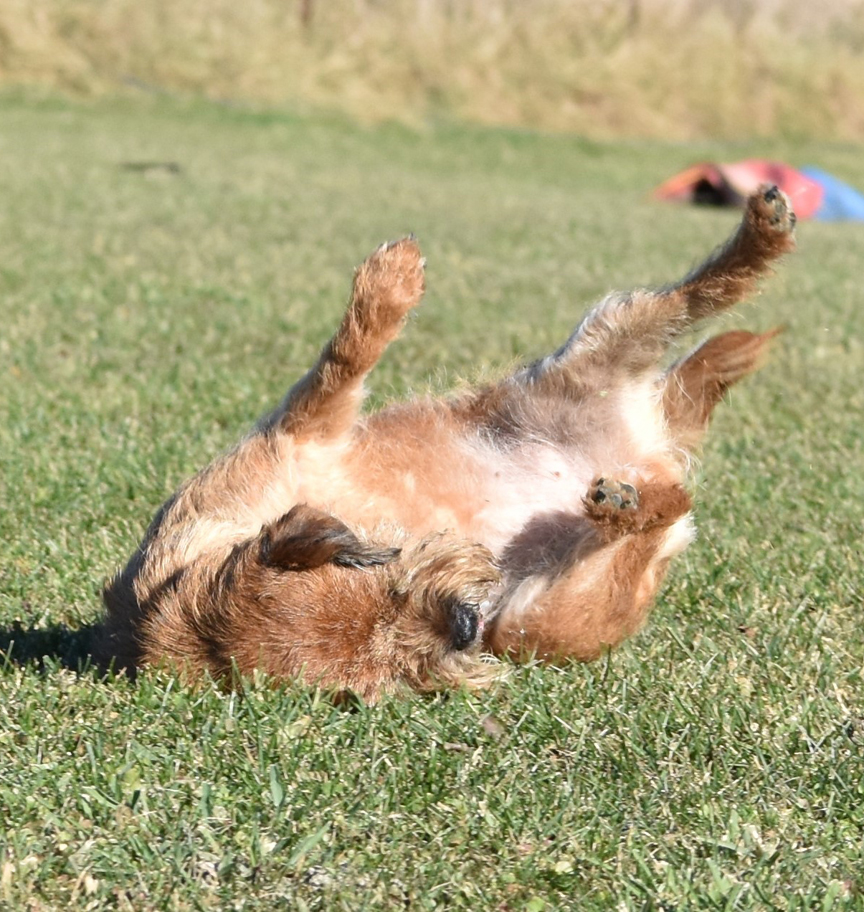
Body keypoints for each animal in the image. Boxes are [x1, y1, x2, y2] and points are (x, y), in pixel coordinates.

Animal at [95, 187, 795, 701]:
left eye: (373, 580)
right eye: (385, 675)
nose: (462, 629)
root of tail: (652, 439)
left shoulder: (299, 431)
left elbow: (346, 355)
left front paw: (393, 276)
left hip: (602, 346)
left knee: (701, 294)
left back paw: (764, 231)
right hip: (544, 614)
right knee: (671, 500)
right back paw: (626, 502)